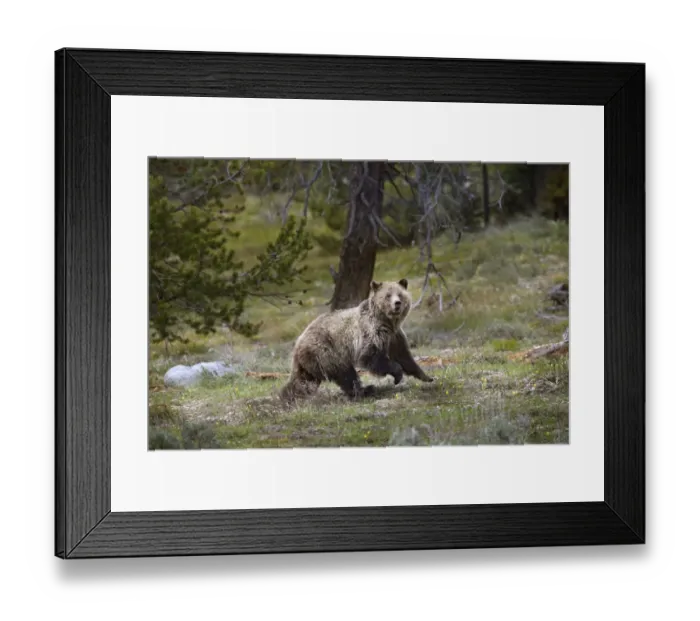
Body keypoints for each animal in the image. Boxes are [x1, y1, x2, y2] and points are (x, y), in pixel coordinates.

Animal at [279, 278, 434, 403]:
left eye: (400, 294)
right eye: (388, 295)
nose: (397, 303)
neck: (387, 322)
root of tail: (298, 343)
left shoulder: (394, 337)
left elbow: (405, 357)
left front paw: (427, 377)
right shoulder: (370, 333)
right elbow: (370, 357)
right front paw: (397, 374)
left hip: (311, 362)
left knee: (302, 380)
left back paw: (287, 397)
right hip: (326, 351)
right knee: (345, 374)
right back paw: (364, 390)